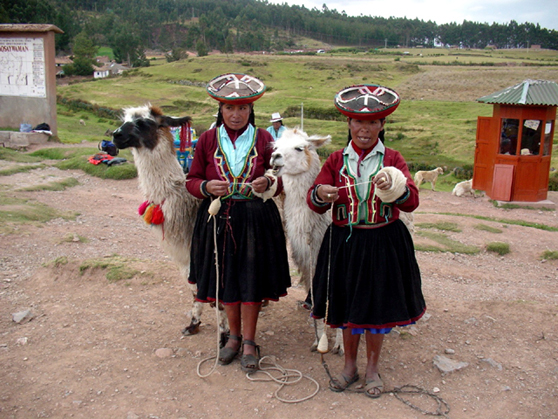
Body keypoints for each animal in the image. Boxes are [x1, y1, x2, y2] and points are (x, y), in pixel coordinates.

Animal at [112, 104, 229, 344]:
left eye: (144, 123)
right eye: (124, 119)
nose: (115, 135)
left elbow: (217, 298)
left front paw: (224, 337)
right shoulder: (185, 258)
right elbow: (195, 292)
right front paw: (193, 324)